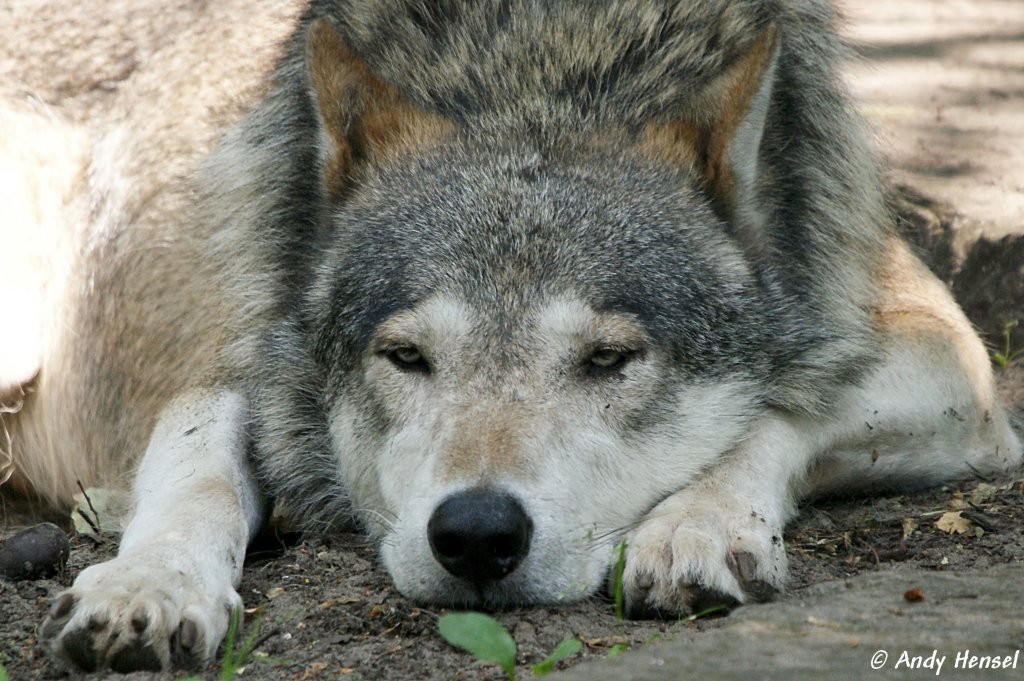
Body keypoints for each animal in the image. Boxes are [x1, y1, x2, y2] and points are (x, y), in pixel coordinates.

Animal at [4, 0, 1019, 671]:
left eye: (609, 359)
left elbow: (780, 408)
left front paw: (699, 522)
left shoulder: (949, 355)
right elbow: (196, 461)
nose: (478, 533)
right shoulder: (243, 350)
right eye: (406, 357)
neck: (538, 71)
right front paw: (151, 582)